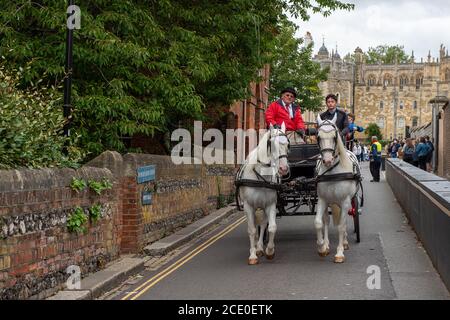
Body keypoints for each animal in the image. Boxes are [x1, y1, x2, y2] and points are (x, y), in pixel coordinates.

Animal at [237, 122, 290, 264]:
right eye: (272, 144)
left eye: (288, 144)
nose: (284, 169)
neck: (260, 175)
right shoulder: (248, 206)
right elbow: (251, 230)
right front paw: (252, 255)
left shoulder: (270, 204)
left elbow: (271, 227)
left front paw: (269, 251)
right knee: (256, 227)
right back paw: (256, 247)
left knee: (262, 224)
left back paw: (260, 247)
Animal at [314, 114, 360, 264]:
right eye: (318, 136)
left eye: (335, 136)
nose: (327, 160)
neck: (333, 172)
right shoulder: (322, 200)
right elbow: (319, 223)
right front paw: (322, 247)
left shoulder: (345, 202)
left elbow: (341, 226)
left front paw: (339, 253)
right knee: (327, 221)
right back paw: (327, 244)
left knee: (343, 222)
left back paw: (344, 243)